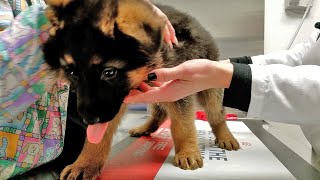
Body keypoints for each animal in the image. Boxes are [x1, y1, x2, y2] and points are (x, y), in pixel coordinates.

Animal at [42, 0, 239, 179]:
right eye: (72, 73)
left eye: (109, 72)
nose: (87, 119)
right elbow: (96, 137)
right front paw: (85, 163)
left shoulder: (177, 89)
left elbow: (183, 126)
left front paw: (187, 151)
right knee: (160, 112)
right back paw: (146, 127)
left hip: (209, 88)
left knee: (216, 114)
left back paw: (225, 136)